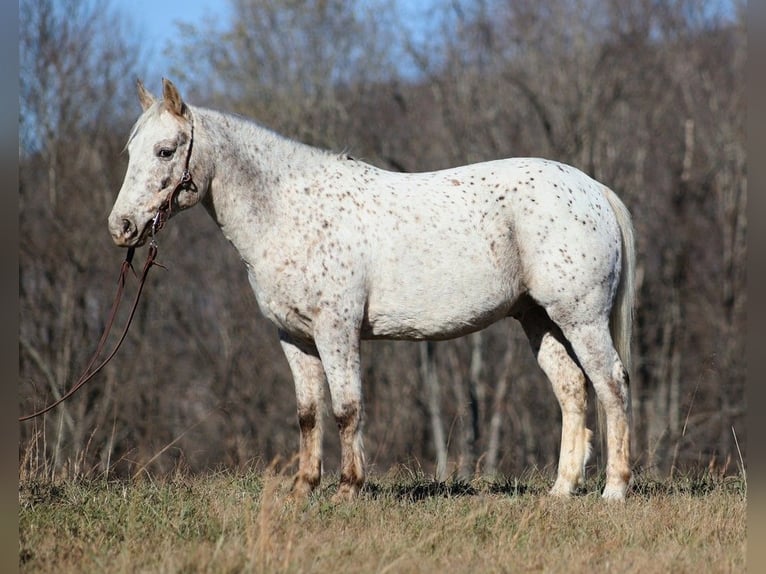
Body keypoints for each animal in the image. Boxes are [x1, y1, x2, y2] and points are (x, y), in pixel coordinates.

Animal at [108, 79, 636, 502]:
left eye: (165, 151)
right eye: (130, 152)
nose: (121, 227)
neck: (291, 210)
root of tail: (593, 189)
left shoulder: (336, 331)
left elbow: (346, 409)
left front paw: (348, 489)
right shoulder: (294, 338)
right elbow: (307, 414)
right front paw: (303, 490)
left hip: (580, 318)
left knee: (611, 384)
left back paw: (614, 489)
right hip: (538, 319)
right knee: (572, 388)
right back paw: (562, 489)